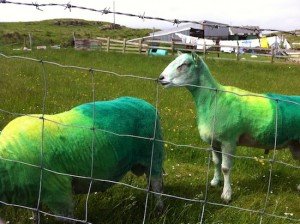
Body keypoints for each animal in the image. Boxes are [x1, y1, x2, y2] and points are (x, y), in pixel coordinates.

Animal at [0, 97, 164, 221]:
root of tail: (146, 103)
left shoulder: (59, 192)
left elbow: (65, 217)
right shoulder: (33, 194)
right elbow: (36, 215)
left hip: (154, 155)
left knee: (157, 185)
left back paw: (159, 211)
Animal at [158, 52, 298, 203]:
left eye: (184, 64)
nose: (161, 78)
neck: (213, 98)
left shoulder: (228, 141)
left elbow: (225, 167)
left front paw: (226, 194)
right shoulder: (214, 142)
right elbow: (216, 162)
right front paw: (215, 181)